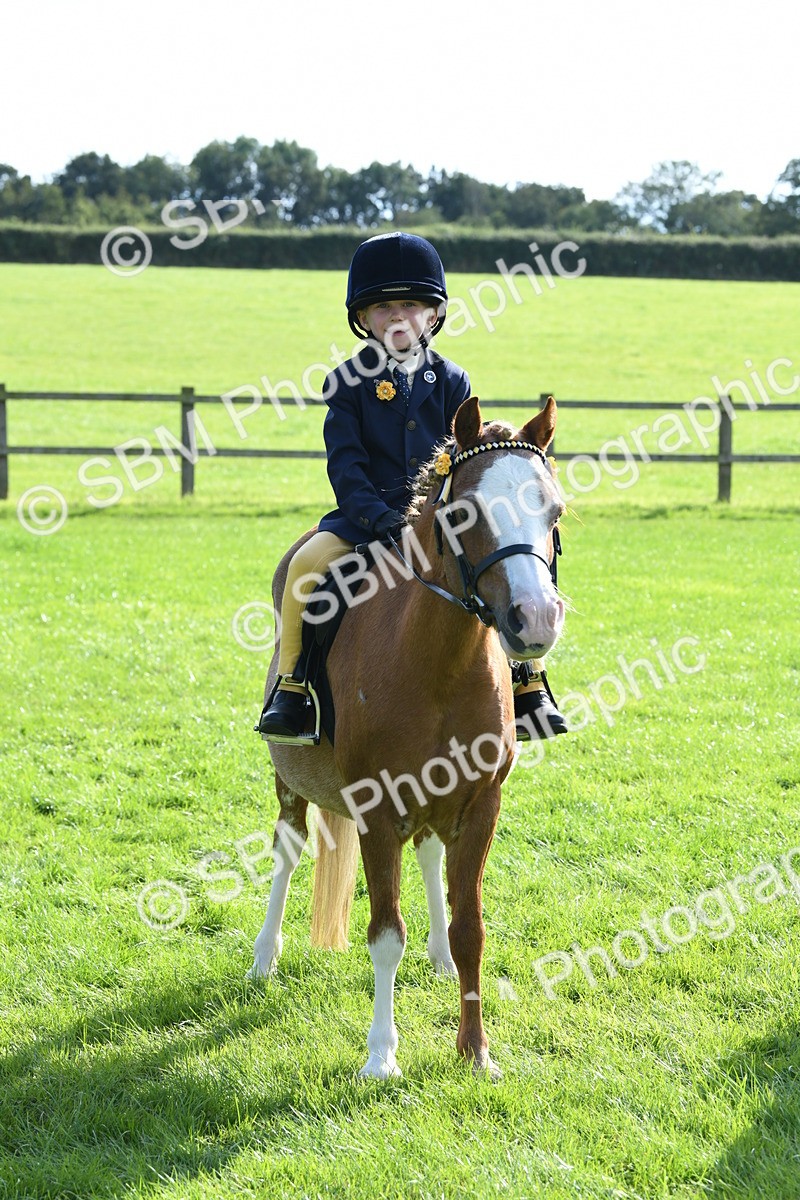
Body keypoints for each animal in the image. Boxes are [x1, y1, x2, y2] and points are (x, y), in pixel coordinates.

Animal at [248, 395, 565, 1079]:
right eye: (467, 512)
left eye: (553, 509)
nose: (535, 619)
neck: (439, 661)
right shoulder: (376, 810)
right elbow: (385, 935)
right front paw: (381, 1055)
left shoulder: (480, 806)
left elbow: (472, 927)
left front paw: (475, 1049)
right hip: (290, 781)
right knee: (288, 850)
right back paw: (264, 955)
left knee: (428, 853)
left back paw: (439, 954)